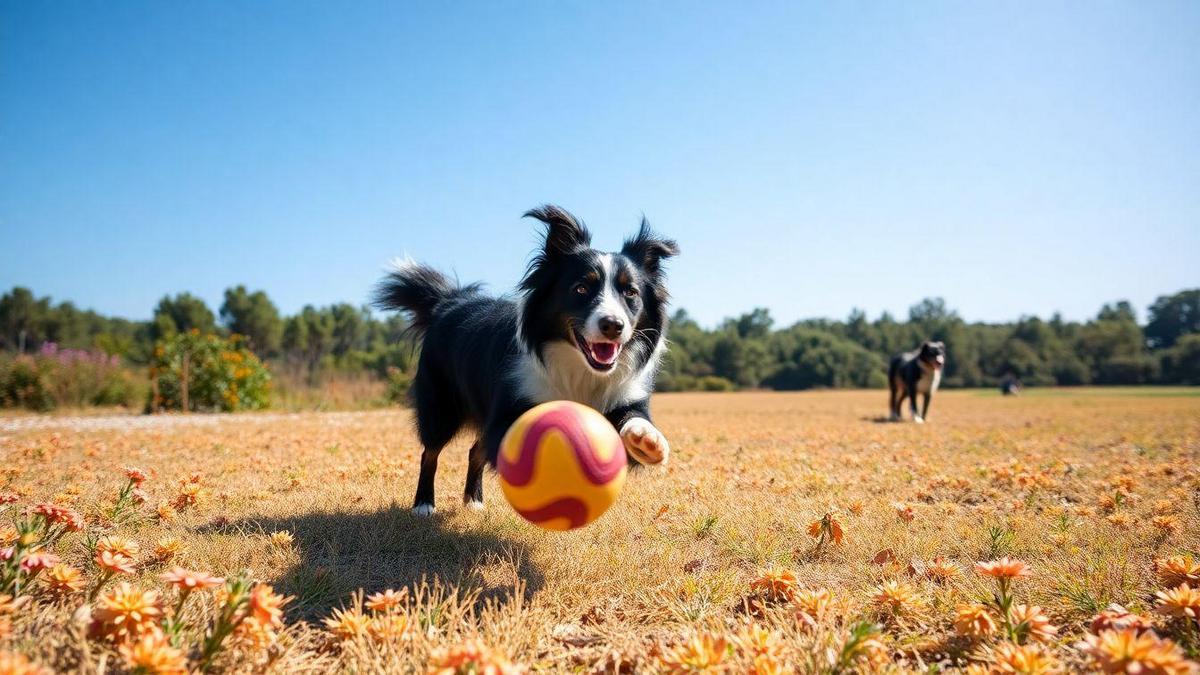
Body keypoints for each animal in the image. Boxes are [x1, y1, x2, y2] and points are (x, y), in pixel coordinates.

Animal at [369, 201, 681, 511]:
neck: (578, 367)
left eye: (631, 293)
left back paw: (474, 502)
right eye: (581, 288)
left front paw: (648, 440)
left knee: (474, 450)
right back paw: (423, 504)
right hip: (440, 401)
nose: (613, 325)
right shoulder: (512, 397)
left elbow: (634, 418)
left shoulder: (624, 394)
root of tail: (448, 302)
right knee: (431, 451)